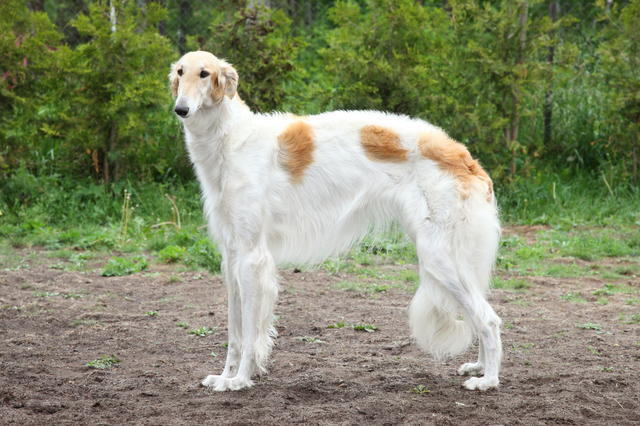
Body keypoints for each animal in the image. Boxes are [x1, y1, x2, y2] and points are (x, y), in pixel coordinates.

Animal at [170, 50, 504, 392]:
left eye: (205, 73)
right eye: (180, 72)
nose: (181, 109)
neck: (232, 141)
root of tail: (466, 158)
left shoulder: (252, 258)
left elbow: (249, 333)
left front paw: (240, 379)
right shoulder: (231, 254)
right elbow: (234, 332)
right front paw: (225, 376)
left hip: (438, 256)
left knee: (489, 319)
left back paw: (488, 380)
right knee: (481, 314)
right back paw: (479, 367)